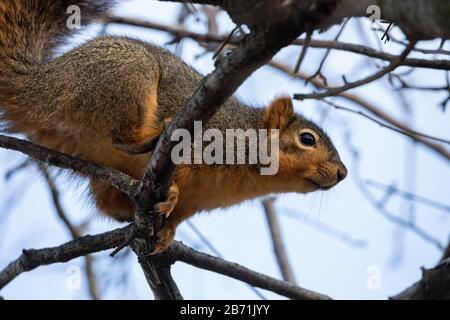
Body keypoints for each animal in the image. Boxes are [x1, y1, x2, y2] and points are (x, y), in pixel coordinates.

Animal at [0, 0, 348, 255]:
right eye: (307, 139)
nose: (342, 173)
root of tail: (39, 83)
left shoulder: (198, 203)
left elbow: (174, 215)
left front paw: (168, 233)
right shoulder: (209, 141)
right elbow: (179, 171)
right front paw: (172, 191)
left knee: (105, 201)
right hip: (125, 77)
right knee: (122, 136)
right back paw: (150, 137)